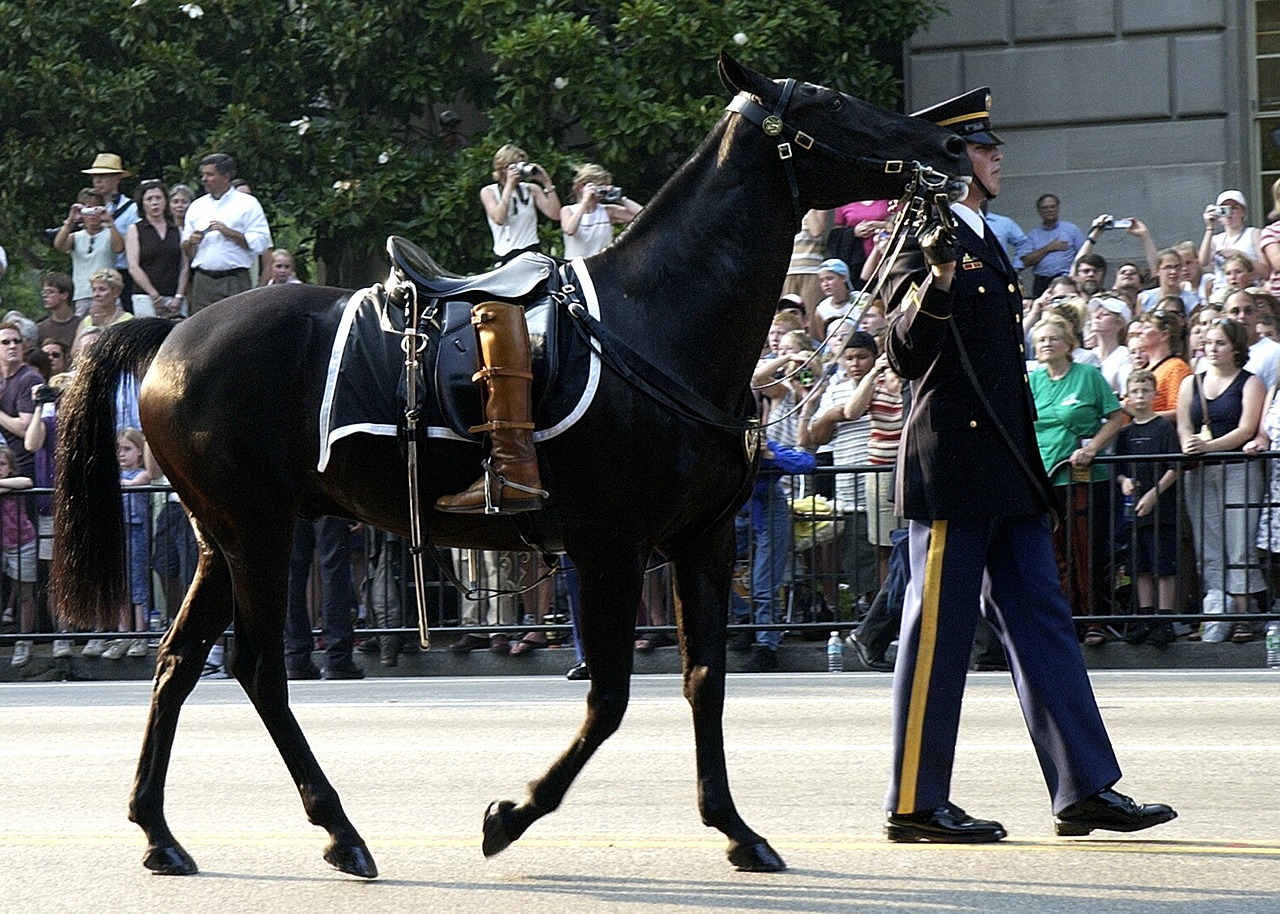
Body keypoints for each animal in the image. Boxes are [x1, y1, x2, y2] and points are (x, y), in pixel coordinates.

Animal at [55, 55, 962, 875]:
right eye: (829, 103)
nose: (949, 144)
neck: (657, 320)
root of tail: (172, 333)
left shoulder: (701, 541)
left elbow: (706, 679)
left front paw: (737, 829)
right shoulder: (610, 546)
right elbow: (610, 697)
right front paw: (511, 816)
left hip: (223, 538)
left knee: (178, 663)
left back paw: (160, 831)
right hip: (259, 533)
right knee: (256, 669)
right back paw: (339, 831)